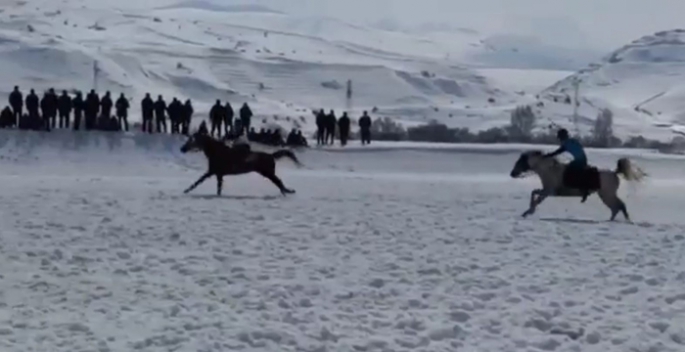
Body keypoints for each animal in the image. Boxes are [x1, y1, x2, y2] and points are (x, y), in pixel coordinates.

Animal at [508, 151, 648, 220]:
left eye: (520, 162)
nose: (512, 173)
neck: (549, 170)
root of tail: (614, 172)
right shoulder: (547, 191)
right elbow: (534, 193)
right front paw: (528, 211)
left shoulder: (549, 192)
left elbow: (536, 196)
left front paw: (529, 212)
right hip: (605, 195)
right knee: (616, 207)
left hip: (607, 195)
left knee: (619, 205)